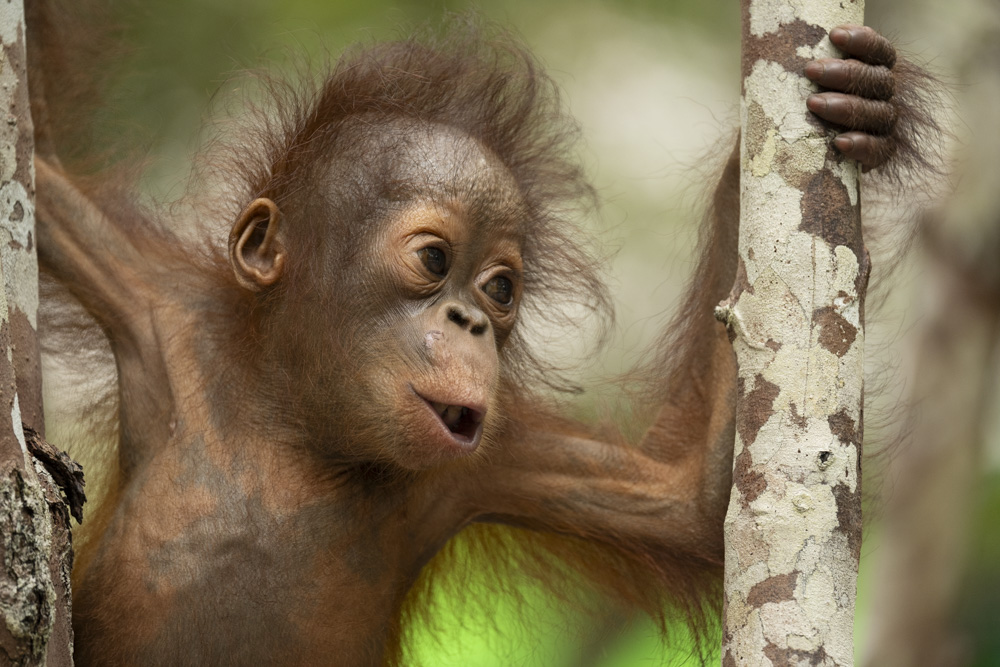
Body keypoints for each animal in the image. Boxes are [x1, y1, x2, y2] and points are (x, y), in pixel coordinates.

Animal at [27, 4, 940, 665]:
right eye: (434, 260)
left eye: (499, 290)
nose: (468, 319)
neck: (295, 424)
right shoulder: (150, 304)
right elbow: (38, 176)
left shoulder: (480, 464)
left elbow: (693, 498)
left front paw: (863, 109)